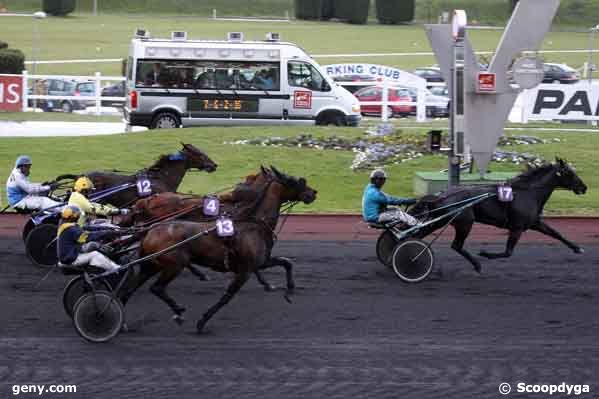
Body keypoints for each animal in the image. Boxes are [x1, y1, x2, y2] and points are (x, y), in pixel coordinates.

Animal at [118, 165, 318, 332]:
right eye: (294, 180)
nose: (313, 193)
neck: (252, 223)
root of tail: (151, 230)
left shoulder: (261, 262)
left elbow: (287, 262)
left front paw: (288, 291)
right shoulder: (245, 270)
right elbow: (227, 297)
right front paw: (202, 321)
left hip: (151, 264)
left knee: (128, 290)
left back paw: (124, 323)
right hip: (173, 265)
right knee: (157, 288)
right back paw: (178, 310)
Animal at [410, 158, 588, 274]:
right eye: (570, 173)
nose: (584, 187)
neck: (527, 193)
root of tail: (441, 195)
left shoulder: (534, 223)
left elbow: (556, 233)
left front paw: (577, 248)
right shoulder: (517, 227)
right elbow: (508, 252)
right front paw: (485, 254)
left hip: (442, 221)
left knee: (419, 235)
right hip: (465, 222)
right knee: (456, 245)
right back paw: (477, 264)